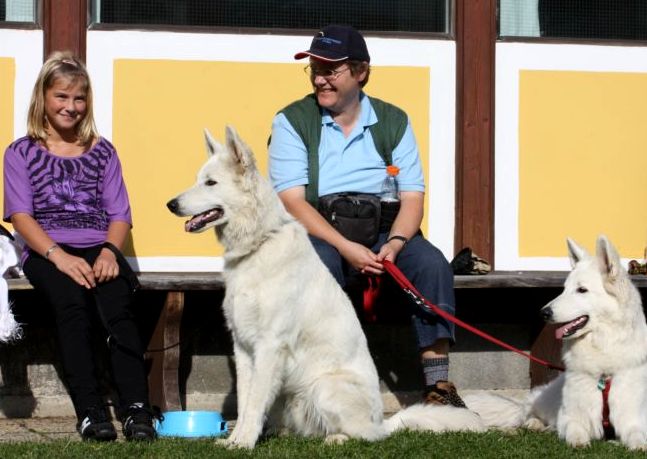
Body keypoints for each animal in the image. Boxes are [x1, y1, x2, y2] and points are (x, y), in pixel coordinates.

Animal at [167, 126, 483, 448]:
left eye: (211, 182)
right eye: (199, 179)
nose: (171, 204)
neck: (260, 243)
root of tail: (383, 421)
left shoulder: (269, 346)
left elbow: (254, 402)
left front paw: (243, 443)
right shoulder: (243, 348)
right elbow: (245, 402)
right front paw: (235, 440)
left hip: (325, 387)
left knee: (367, 435)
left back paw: (338, 439)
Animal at [464, 235, 647, 450]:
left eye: (582, 290)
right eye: (564, 289)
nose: (543, 313)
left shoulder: (632, 417)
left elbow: (637, 435)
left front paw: (638, 445)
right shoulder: (571, 416)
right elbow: (574, 430)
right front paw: (578, 442)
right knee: (528, 413)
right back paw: (532, 424)